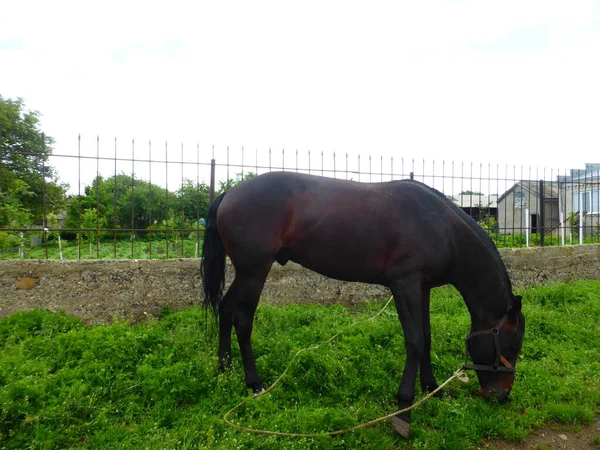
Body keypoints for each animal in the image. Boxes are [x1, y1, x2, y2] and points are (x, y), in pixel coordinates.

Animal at [200, 171, 524, 438]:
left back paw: (224, 368)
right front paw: (404, 411)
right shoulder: (404, 285)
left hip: (245, 273)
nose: (502, 395)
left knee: (225, 310)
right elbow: (415, 341)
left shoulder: (423, 288)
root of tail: (229, 193)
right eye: (511, 345)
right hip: (254, 271)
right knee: (242, 320)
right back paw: (254, 383)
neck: (442, 227)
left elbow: (427, 337)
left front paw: (432, 388)